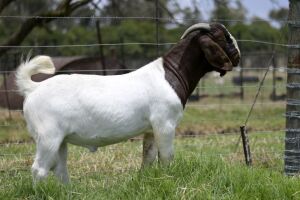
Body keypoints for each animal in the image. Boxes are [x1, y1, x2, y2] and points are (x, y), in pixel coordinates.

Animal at [15, 22, 241, 183]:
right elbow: (166, 158)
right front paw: (168, 178)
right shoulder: (165, 124)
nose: (238, 57)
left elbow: (148, 158)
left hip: (60, 139)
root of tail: (33, 88)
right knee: (39, 169)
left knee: (59, 169)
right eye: (225, 38)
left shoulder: (151, 129)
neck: (169, 73)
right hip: (48, 136)